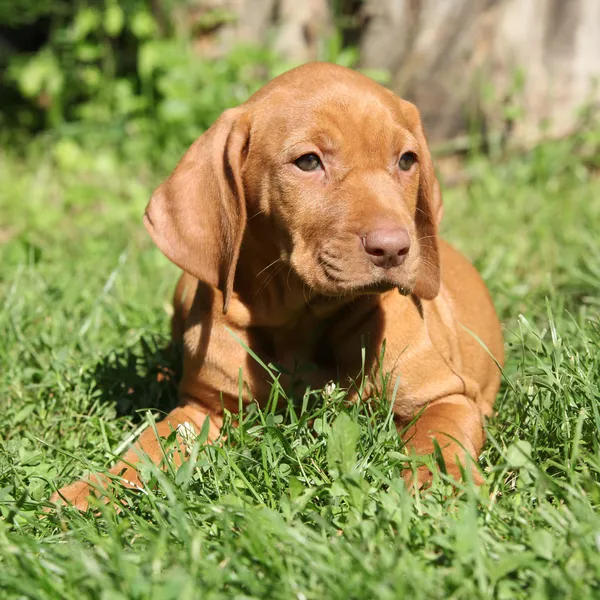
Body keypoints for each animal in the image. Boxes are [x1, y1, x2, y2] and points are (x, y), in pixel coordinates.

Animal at [51, 62, 504, 510]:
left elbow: (437, 443)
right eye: (308, 162)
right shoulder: (201, 411)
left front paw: (444, 491)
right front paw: (86, 493)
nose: (393, 248)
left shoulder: (447, 397)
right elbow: (145, 451)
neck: (297, 319)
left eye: (407, 160)